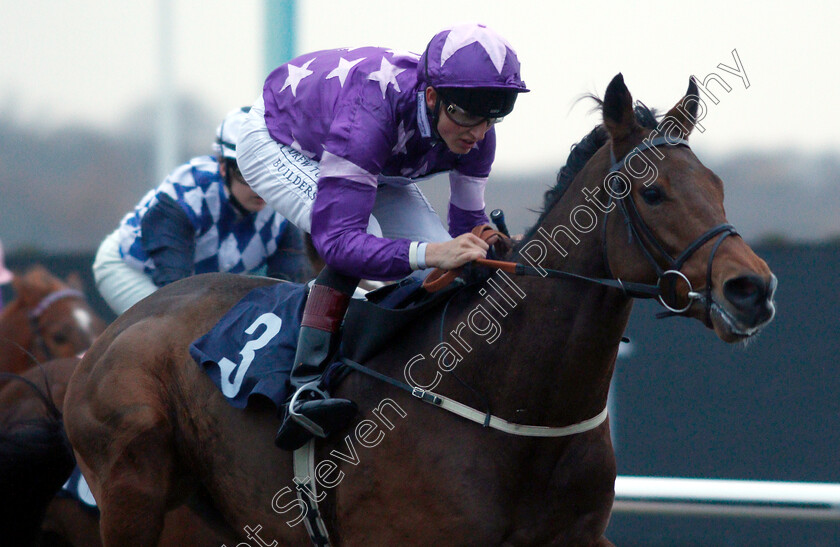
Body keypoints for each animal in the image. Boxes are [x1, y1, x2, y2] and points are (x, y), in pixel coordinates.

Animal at [64, 75, 776, 544]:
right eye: (652, 193)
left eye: (717, 185)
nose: (753, 288)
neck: (511, 401)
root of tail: (116, 328)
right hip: (133, 492)